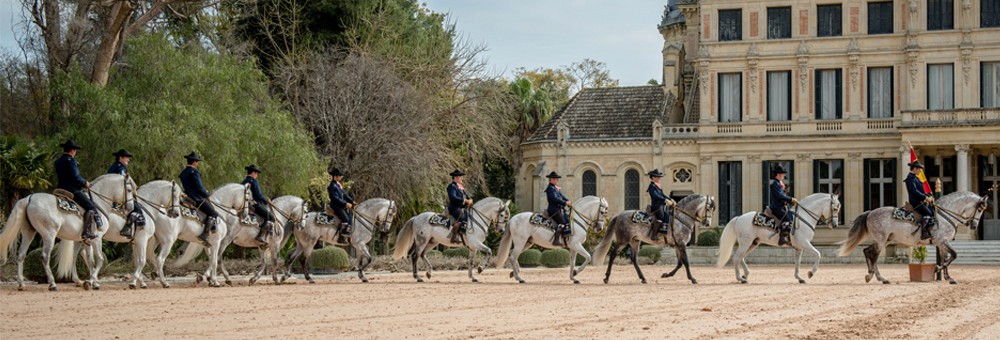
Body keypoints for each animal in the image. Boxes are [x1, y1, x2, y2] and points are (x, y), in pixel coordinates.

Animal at [588, 194, 716, 284]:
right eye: (708, 208)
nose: (707, 223)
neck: (680, 218)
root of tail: (619, 215)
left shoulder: (677, 245)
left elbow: (680, 263)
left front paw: (667, 274)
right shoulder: (681, 244)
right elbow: (686, 262)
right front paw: (692, 278)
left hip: (635, 241)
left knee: (634, 259)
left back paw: (643, 278)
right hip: (623, 241)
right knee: (613, 255)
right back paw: (606, 277)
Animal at [840, 191, 988, 284]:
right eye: (980, 209)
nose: (974, 226)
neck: (944, 215)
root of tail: (871, 212)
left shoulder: (942, 243)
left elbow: (946, 258)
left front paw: (949, 278)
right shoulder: (942, 241)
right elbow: (953, 255)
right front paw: (937, 269)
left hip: (886, 240)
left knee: (867, 251)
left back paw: (872, 275)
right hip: (881, 240)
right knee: (873, 256)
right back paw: (879, 277)